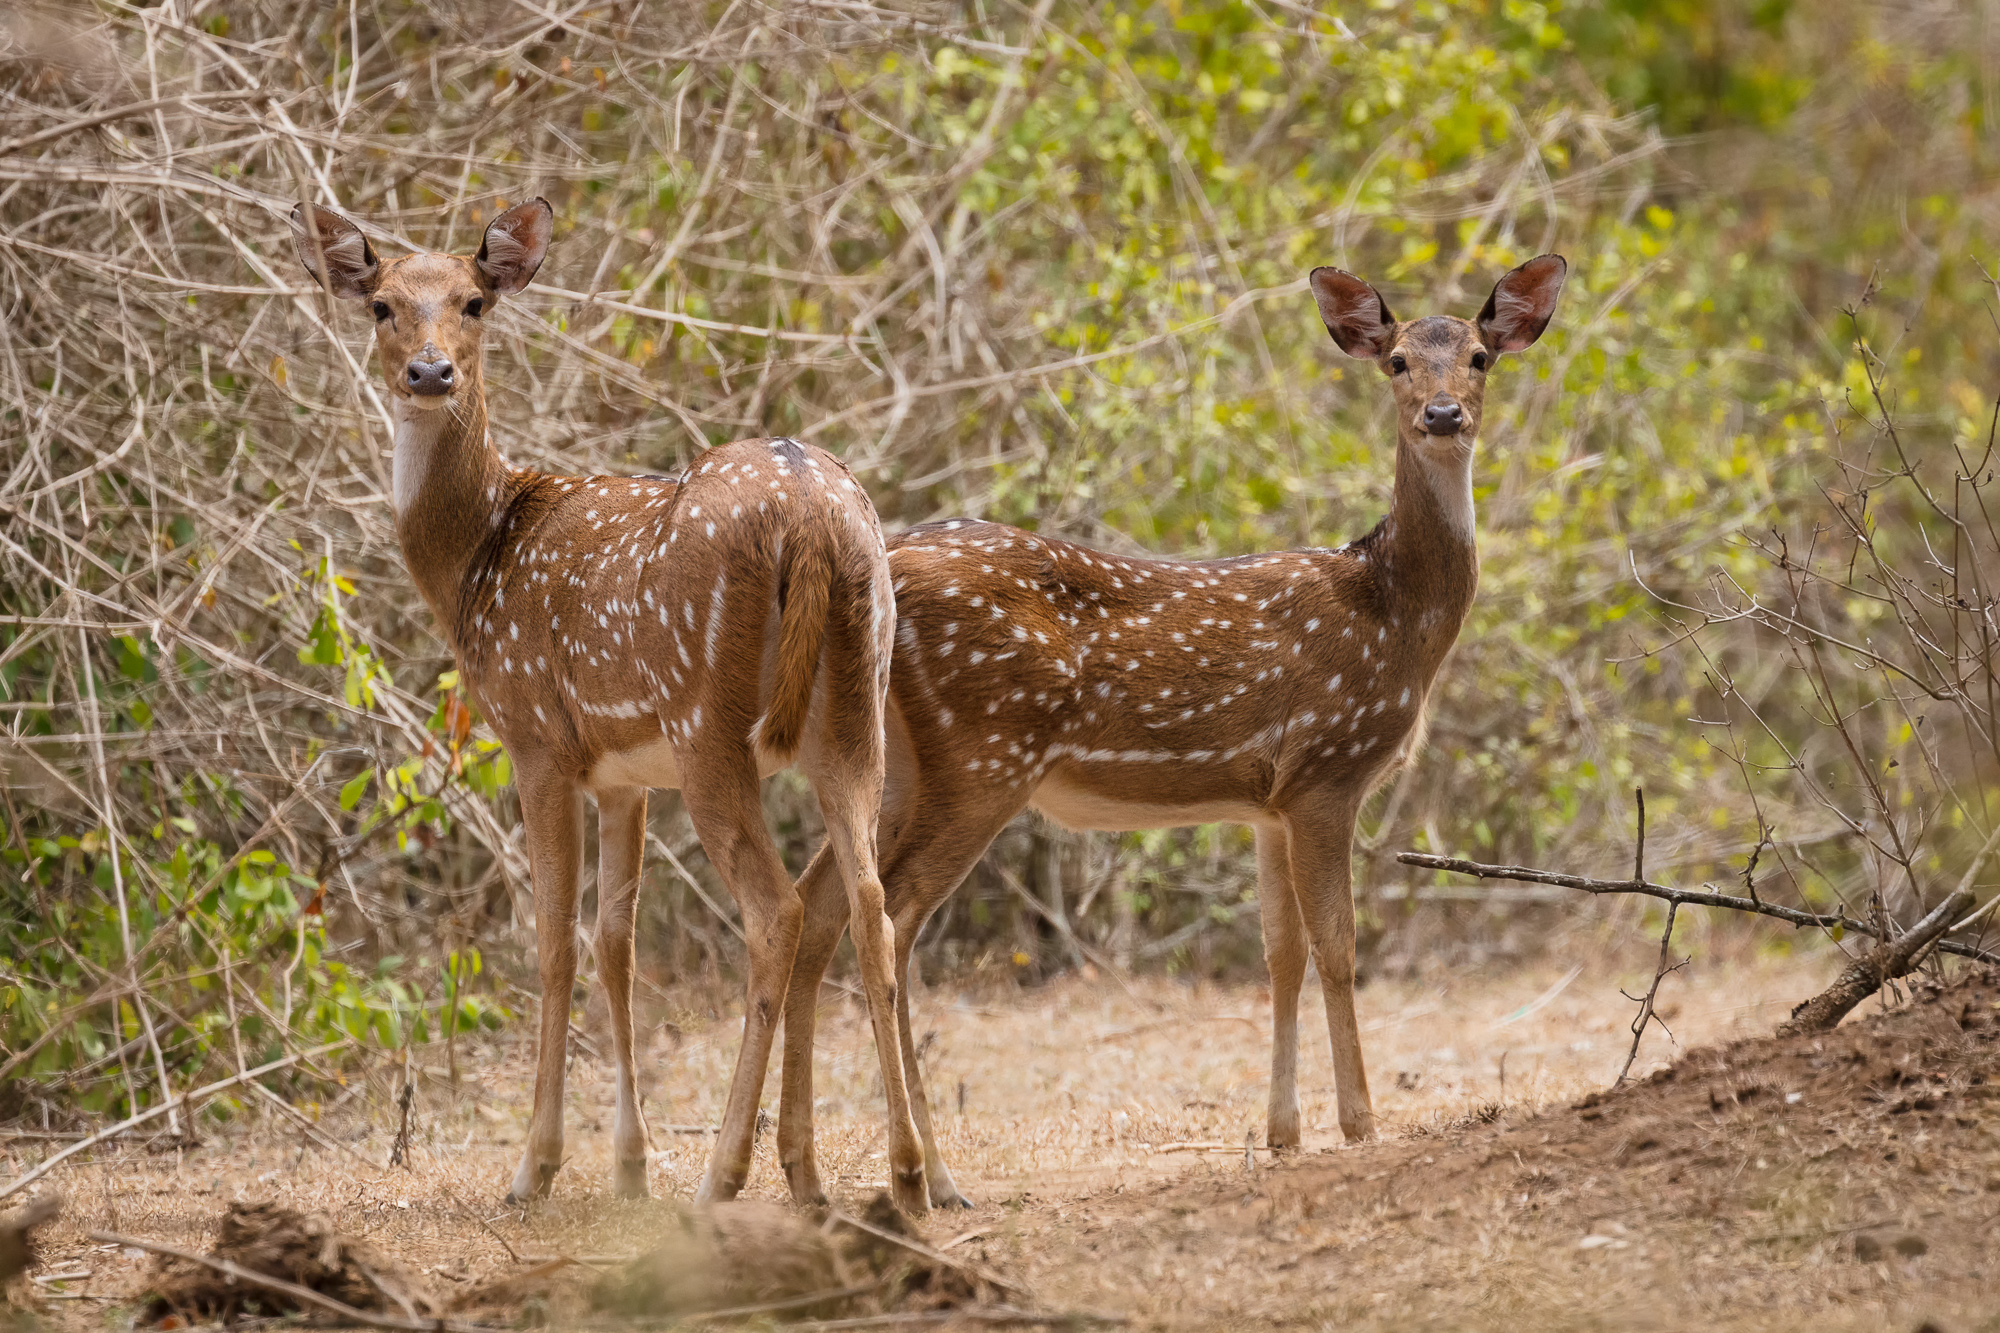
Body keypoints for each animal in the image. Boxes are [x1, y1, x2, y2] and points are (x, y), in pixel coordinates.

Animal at [292, 200, 932, 1216]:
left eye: (473, 302)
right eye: (383, 303)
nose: (429, 373)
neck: (476, 561)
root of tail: (809, 511)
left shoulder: (536, 736)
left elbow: (554, 939)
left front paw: (536, 1166)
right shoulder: (625, 775)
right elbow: (616, 942)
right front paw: (628, 1163)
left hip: (710, 723)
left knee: (778, 911)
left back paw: (725, 1172)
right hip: (854, 707)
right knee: (868, 904)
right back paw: (889, 1173)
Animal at [772, 252, 1568, 1200]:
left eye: (1482, 357)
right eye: (1399, 360)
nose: (1442, 415)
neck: (1393, 613)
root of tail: (876, 564)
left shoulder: (1269, 801)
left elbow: (1280, 951)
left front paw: (1282, 1132)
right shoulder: (1328, 768)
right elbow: (1338, 947)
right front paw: (1359, 1123)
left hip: (899, 763)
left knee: (818, 899)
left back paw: (804, 1171)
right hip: (983, 755)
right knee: (888, 917)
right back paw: (925, 1176)